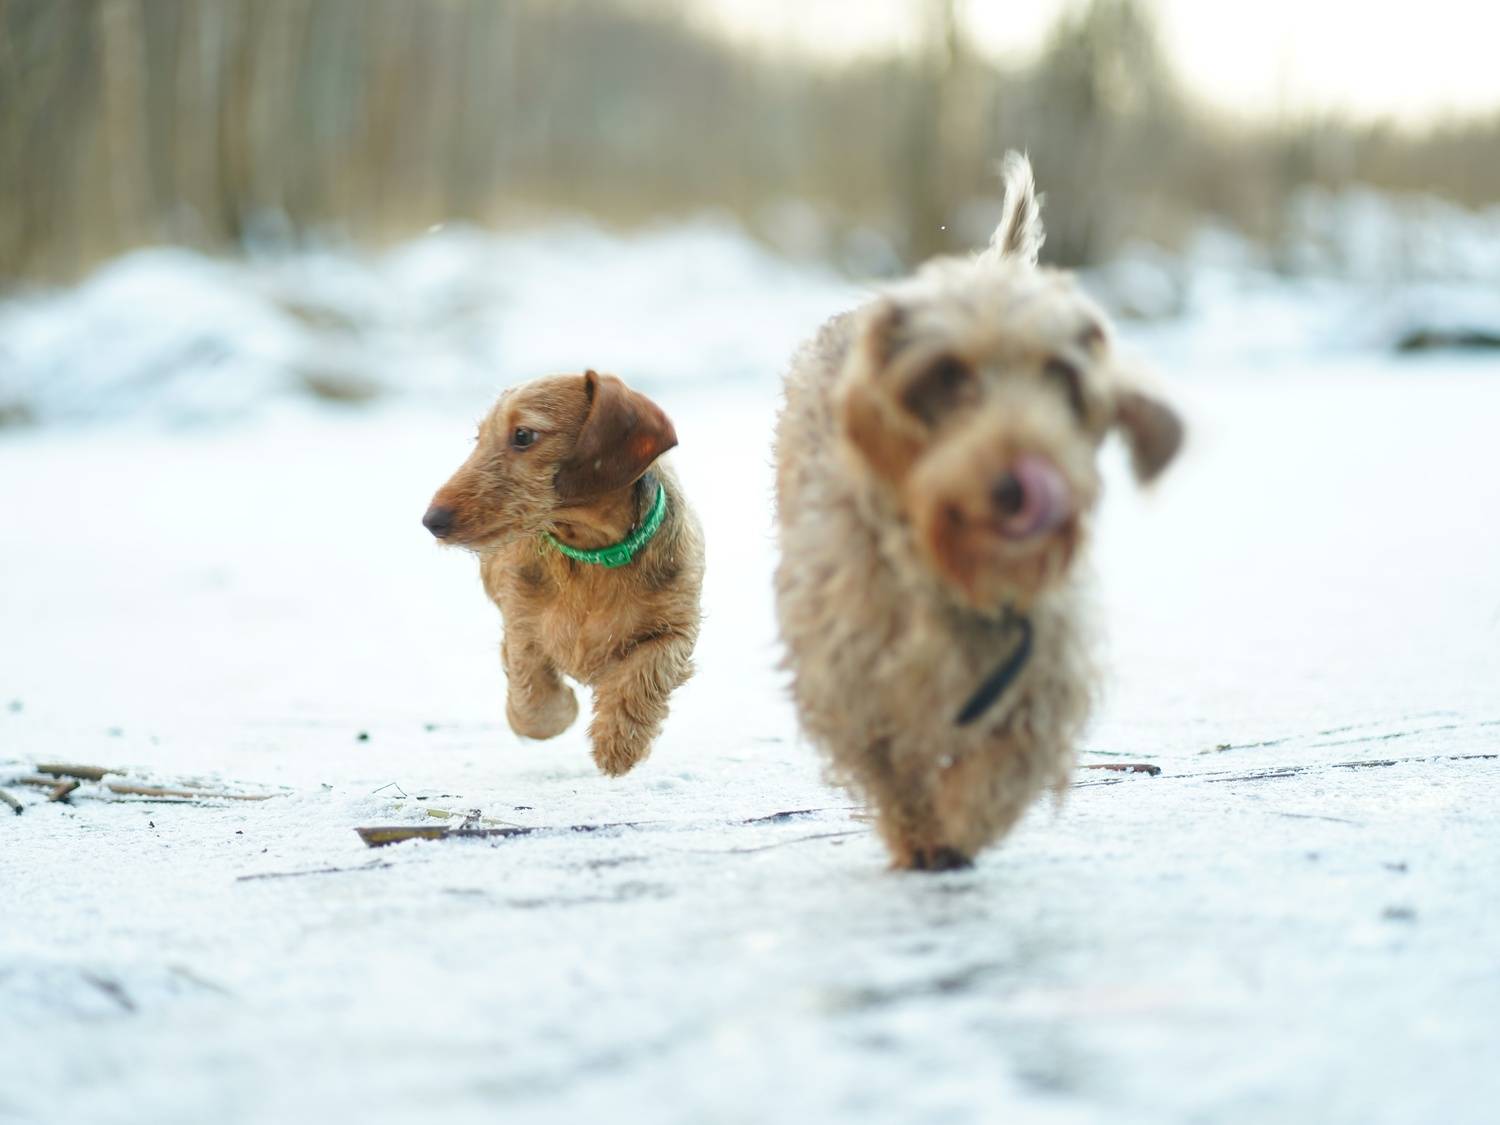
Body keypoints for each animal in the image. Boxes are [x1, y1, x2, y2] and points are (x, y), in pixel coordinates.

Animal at [423, 370, 703, 777]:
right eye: (479, 438)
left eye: (523, 435)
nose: (432, 521)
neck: (593, 554)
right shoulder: (522, 627)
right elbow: (534, 699)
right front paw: (559, 712)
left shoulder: (675, 630)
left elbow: (643, 674)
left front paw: (617, 745)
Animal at [774, 153, 1183, 870]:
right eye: (948, 376)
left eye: (1061, 377)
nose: (1023, 483)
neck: (956, 574)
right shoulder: (850, 677)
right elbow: (893, 768)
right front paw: (921, 837)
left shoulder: (1044, 670)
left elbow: (1008, 761)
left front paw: (965, 820)